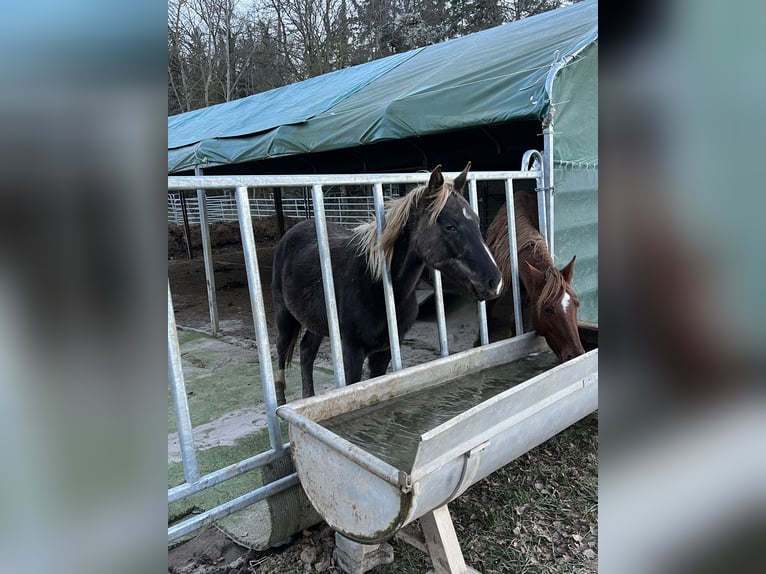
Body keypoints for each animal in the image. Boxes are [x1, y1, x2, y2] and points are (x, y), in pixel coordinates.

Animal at [270, 163, 504, 404]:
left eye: (476, 221)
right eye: (450, 226)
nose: (494, 282)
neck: (376, 285)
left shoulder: (385, 352)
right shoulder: (351, 352)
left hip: (317, 321)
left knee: (306, 351)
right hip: (284, 316)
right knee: (281, 354)